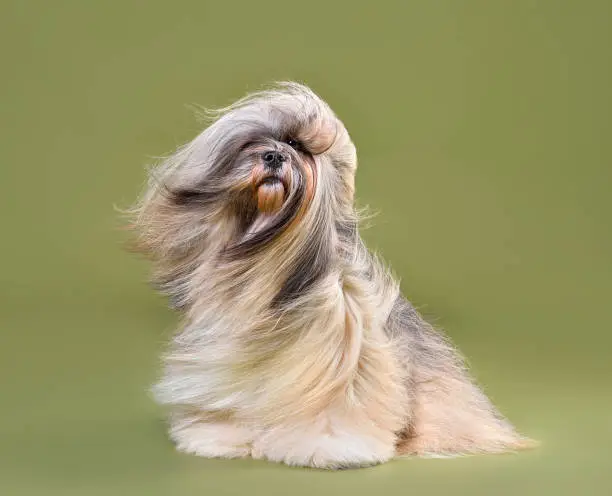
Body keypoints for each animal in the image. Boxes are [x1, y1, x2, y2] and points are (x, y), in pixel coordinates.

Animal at [129, 82, 532, 468]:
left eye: (295, 145)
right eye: (252, 145)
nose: (273, 156)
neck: (263, 262)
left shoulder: (345, 348)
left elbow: (334, 407)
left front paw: (327, 446)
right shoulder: (223, 349)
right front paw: (218, 435)